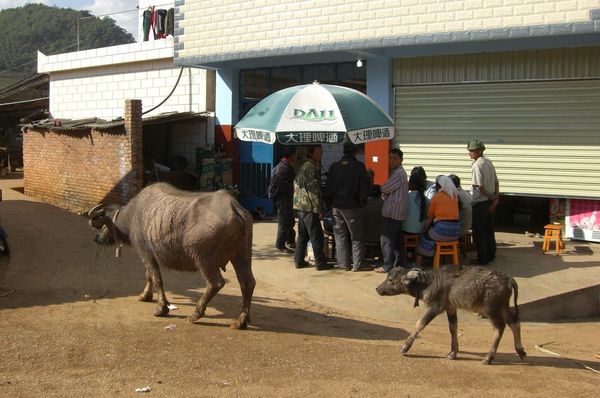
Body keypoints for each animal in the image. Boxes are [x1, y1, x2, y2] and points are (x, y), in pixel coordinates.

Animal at [85, 183, 254, 330]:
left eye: (104, 224)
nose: (97, 238)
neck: (133, 215)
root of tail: (233, 207)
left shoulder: (145, 252)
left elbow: (157, 279)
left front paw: (161, 308)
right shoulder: (149, 255)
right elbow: (149, 276)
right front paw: (145, 295)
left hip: (204, 259)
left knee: (216, 283)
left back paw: (195, 315)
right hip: (241, 255)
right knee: (247, 283)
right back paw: (241, 321)